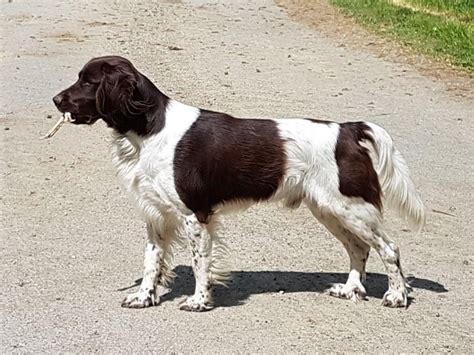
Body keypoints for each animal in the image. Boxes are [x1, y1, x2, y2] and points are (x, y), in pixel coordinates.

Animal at [52, 55, 426, 312]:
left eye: (87, 81)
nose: (56, 100)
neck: (150, 129)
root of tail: (348, 130)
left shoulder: (195, 214)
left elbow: (200, 263)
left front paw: (199, 301)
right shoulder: (157, 215)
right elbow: (151, 262)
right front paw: (144, 297)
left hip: (349, 207)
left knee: (388, 249)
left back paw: (396, 295)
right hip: (328, 208)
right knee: (359, 248)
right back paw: (350, 290)